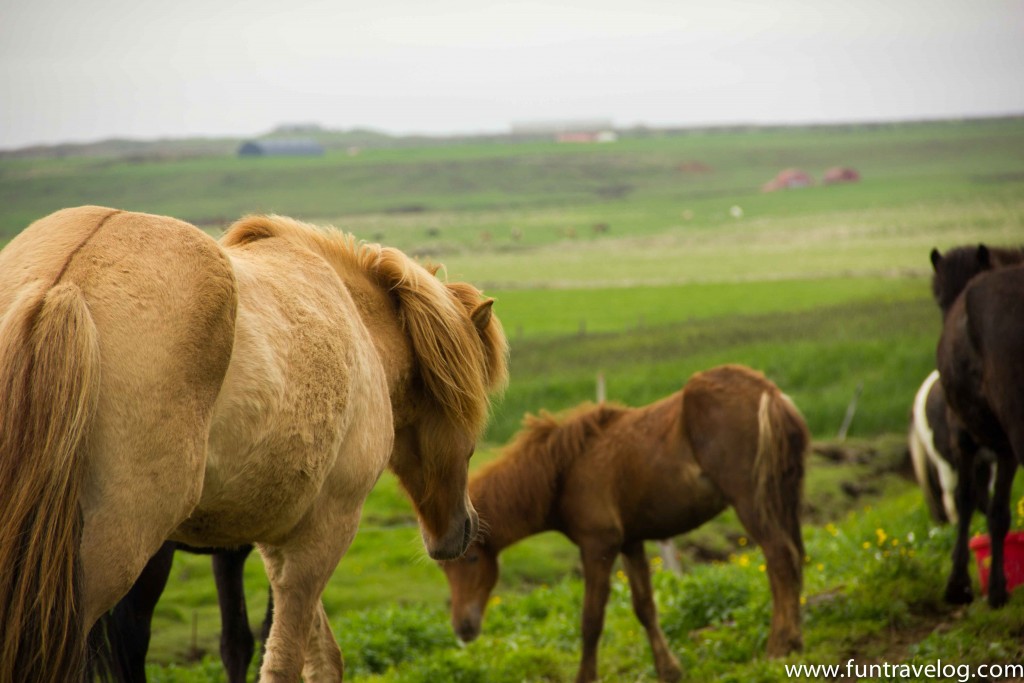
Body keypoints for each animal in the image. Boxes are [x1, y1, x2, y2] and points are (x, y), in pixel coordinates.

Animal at [0, 208, 507, 683]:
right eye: (470, 412)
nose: (461, 530)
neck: (359, 324)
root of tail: (63, 283)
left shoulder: (277, 537)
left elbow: (317, 656)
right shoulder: (325, 529)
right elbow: (286, 660)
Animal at [442, 366, 806, 683]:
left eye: (471, 559)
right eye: (446, 569)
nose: (462, 628)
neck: (565, 470)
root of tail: (770, 394)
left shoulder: (598, 546)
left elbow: (591, 619)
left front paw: (586, 677)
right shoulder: (631, 542)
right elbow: (645, 607)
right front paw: (669, 670)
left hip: (752, 502)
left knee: (779, 559)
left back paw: (778, 646)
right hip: (785, 499)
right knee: (796, 557)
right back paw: (795, 642)